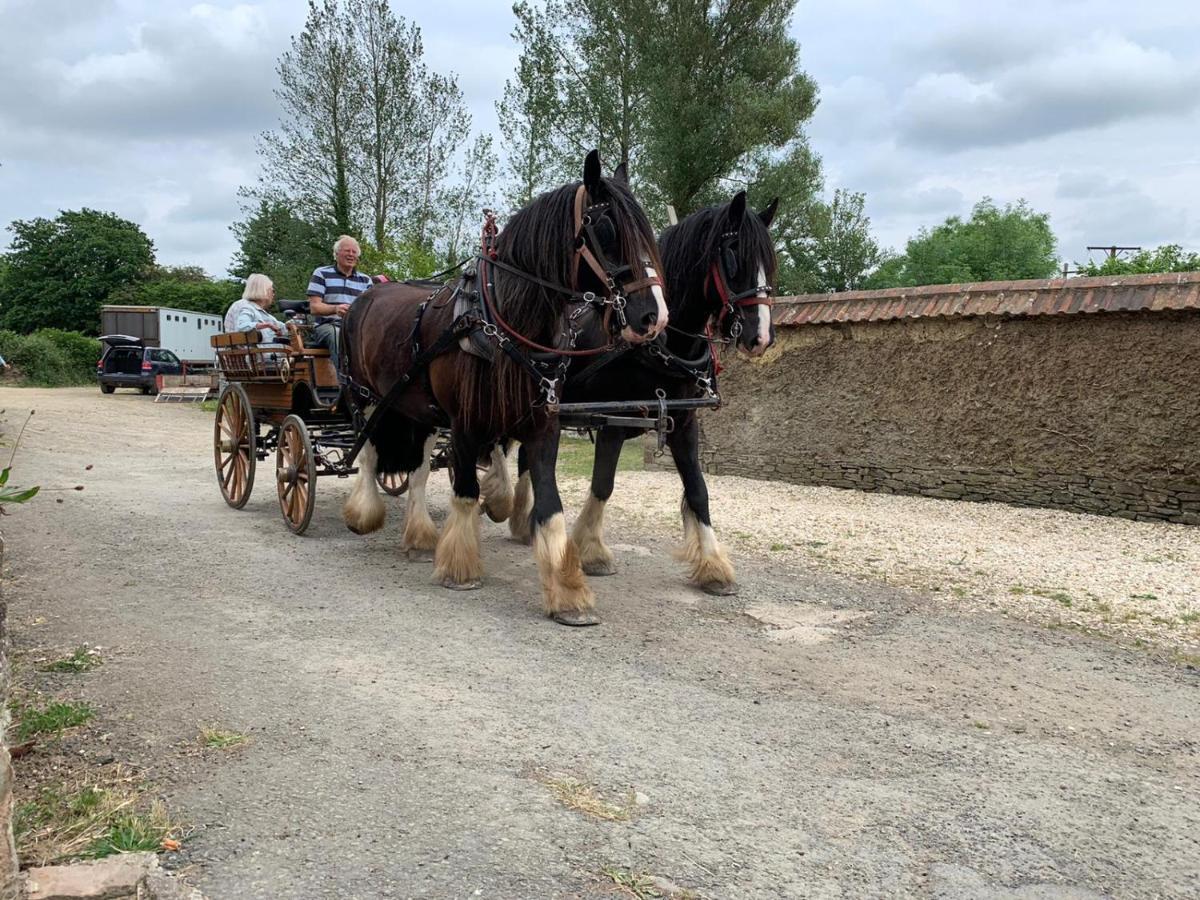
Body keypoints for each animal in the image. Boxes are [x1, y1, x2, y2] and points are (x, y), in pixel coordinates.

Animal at [343, 151, 672, 624]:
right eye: (607, 229)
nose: (655, 317)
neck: (500, 322)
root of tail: (366, 295)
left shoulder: (542, 422)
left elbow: (549, 504)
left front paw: (568, 592)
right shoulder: (464, 422)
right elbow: (465, 490)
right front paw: (460, 568)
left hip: (417, 407)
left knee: (418, 468)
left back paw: (420, 536)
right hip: (368, 397)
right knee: (368, 452)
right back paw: (364, 512)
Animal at [506, 190, 777, 595]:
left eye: (769, 261)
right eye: (733, 257)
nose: (761, 337)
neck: (663, 345)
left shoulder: (683, 422)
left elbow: (698, 489)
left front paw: (714, 565)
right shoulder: (614, 421)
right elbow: (603, 484)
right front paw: (591, 551)